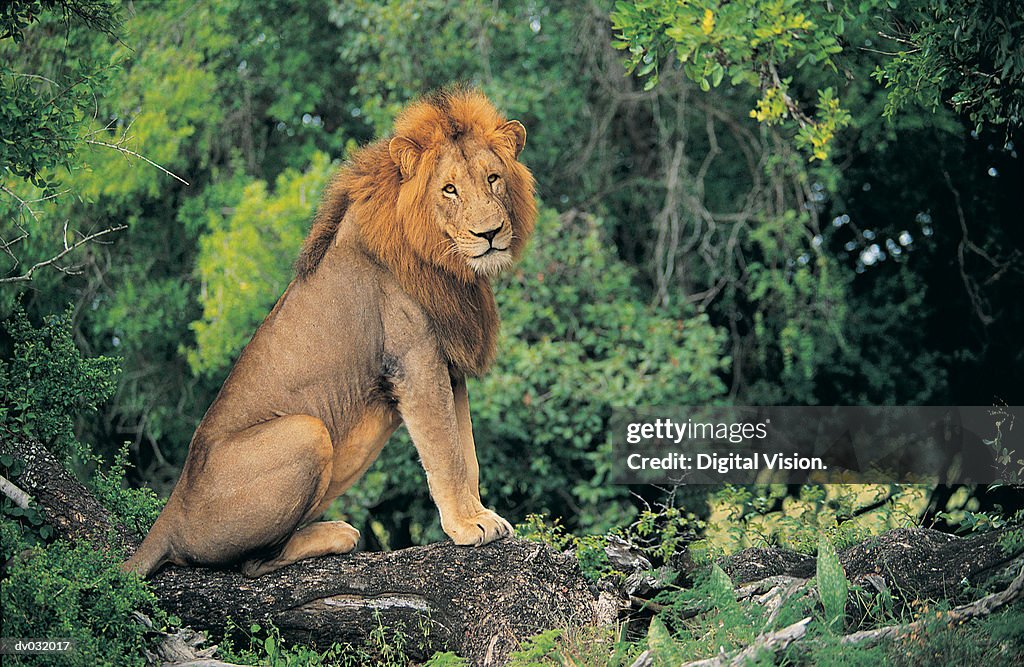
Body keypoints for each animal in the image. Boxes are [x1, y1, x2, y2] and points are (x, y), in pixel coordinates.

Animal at [124, 87, 540, 577]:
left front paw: (480, 514)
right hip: (306, 432)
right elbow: (446, 453)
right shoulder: (414, 360)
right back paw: (336, 534)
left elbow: (467, 453)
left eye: (493, 178)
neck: (448, 265)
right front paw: (467, 526)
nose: (490, 233)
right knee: (249, 564)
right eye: (449, 189)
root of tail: (169, 514)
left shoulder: (449, 367)